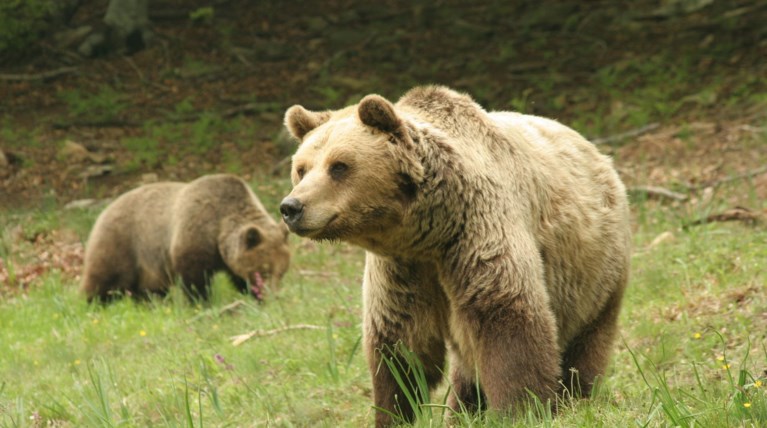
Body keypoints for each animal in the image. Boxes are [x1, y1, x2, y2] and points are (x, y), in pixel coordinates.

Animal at [81, 172, 292, 302]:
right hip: (121, 241)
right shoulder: (194, 235)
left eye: (282, 272)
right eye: (264, 271)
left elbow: (238, 277)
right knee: (105, 277)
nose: (273, 295)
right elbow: (194, 278)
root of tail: (105, 209)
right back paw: (93, 302)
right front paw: (201, 302)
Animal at [280, 85, 632, 426]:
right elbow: (400, 345)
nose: (291, 207)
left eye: (339, 166)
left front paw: (523, 409)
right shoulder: (402, 270)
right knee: (467, 363)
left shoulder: (477, 233)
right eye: (301, 169)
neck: (429, 232)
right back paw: (463, 411)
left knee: (586, 341)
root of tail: (598, 153)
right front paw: (393, 413)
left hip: (595, 271)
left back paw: (577, 397)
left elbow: (507, 320)